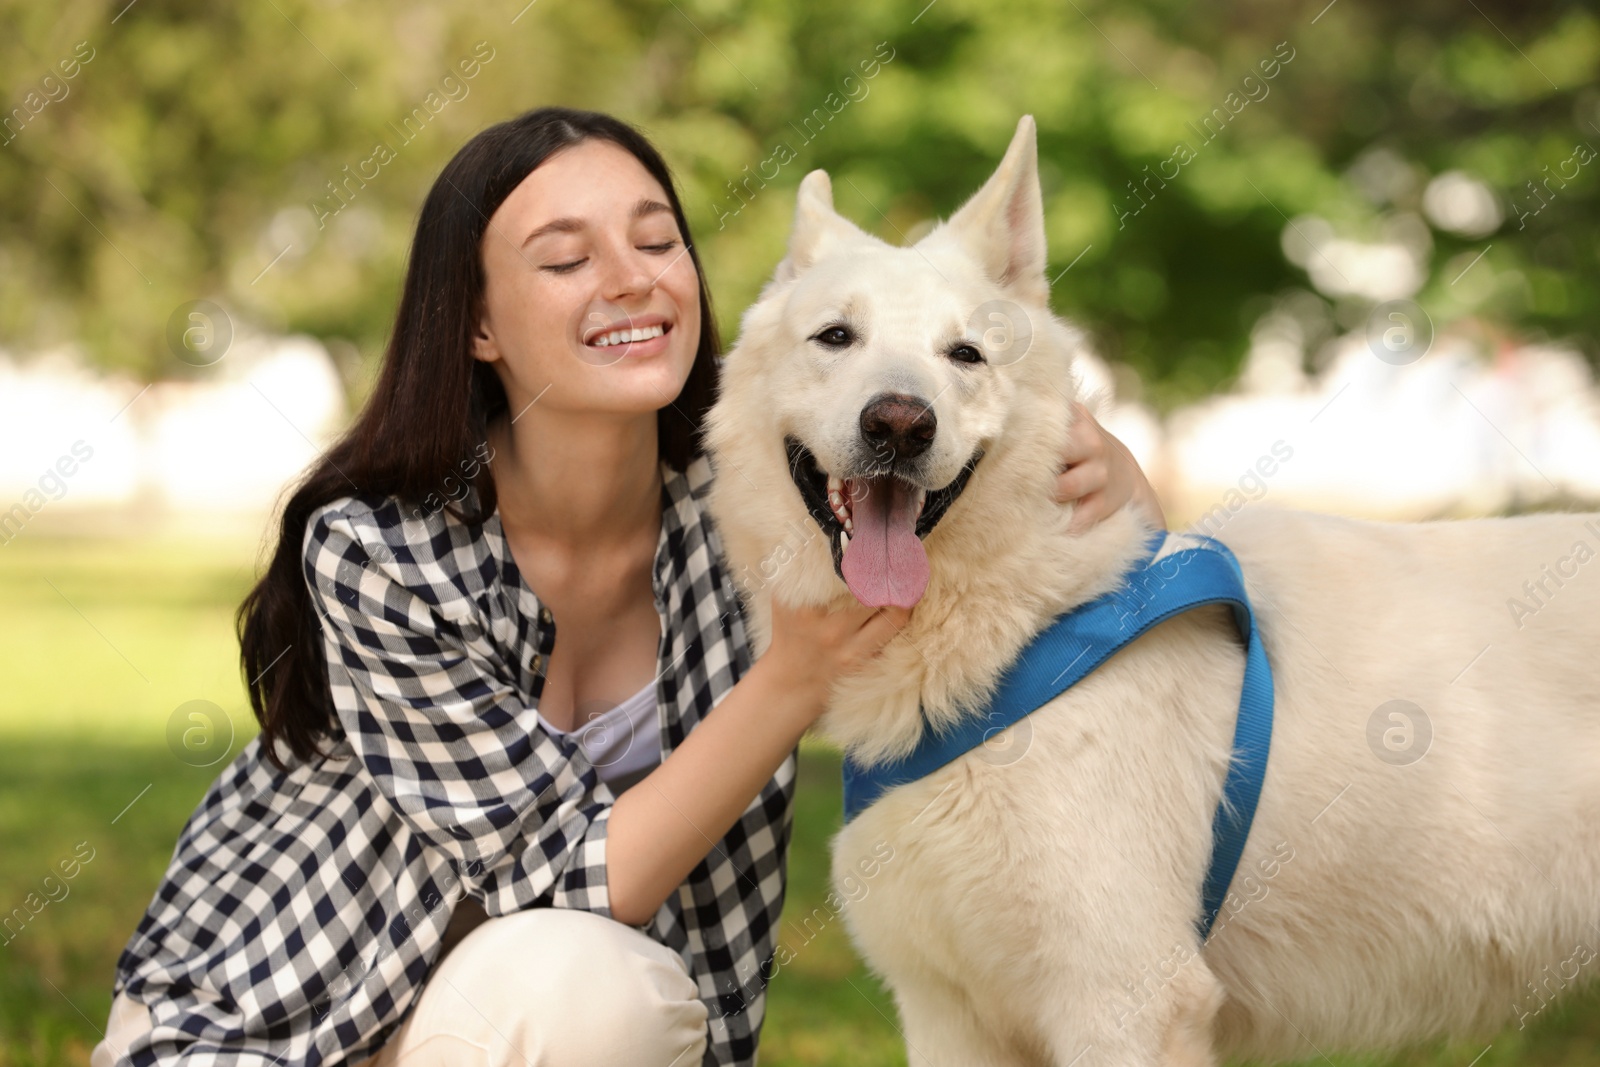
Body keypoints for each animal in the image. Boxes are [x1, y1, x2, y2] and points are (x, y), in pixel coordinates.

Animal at [704, 116, 1600, 1067]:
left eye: (966, 355)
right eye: (835, 337)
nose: (902, 425)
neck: (1021, 631)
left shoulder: (1124, 1005)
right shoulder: (949, 1018)